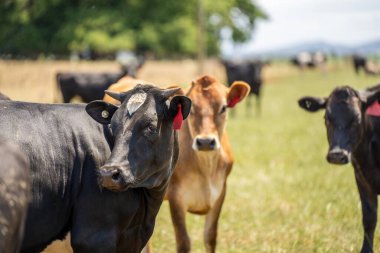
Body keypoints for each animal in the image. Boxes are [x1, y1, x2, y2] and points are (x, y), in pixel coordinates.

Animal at [145, 74, 249, 252]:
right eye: (191, 109)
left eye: (223, 108)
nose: (205, 142)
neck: (206, 168)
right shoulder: (176, 198)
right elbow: (184, 242)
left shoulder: (220, 193)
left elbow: (210, 237)